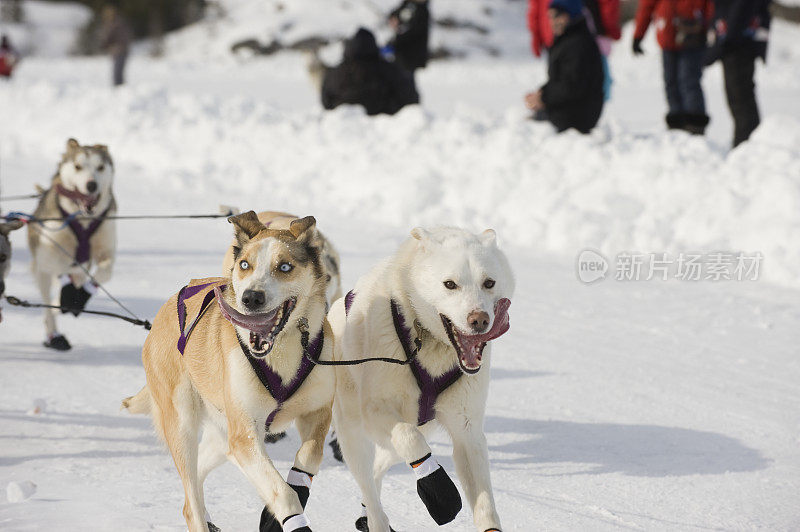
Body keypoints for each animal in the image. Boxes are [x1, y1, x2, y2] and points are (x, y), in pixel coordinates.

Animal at [26, 139, 116, 352]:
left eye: (100, 167)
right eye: (77, 166)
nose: (91, 185)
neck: (83, 220)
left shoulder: (105, 249)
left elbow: (105, 271)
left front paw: (80, 294)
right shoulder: (47, 252)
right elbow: (63, 266)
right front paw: (67, 292)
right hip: (42, 273)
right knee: (47, 308)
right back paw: (53, 333)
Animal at [124, 212, 334, 532]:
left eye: (285, 266)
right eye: (245, 264)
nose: (251, 297)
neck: (281, 351)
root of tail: (165, 310)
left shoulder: (317, 411)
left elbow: (309, 458)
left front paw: (285, 500)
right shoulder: (245, 434)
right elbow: (282, 493)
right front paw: (287, 513)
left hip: (222, 437)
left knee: (197, 480)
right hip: (184, 426)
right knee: (191, 503)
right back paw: (200, 518)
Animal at [328, 227, 516, 532]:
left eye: (489, 282)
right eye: (450, 284)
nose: (479, 320)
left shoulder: (468, 432)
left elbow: (485, 503)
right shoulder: (376, 412)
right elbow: (409, 437)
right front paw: (438, 487)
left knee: (379, 469)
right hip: (353, 435)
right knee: (369, 484)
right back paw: (376, 519)